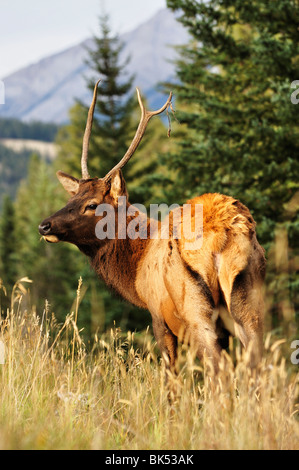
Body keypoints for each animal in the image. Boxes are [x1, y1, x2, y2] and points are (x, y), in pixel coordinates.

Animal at [39, 81, 268, 374]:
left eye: (91, 204)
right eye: (71, 199)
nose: (45, 226)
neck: (136, 272)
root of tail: (222, 239)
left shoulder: (158, 314)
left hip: (195, 309)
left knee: (218, 368)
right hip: (249, 301)